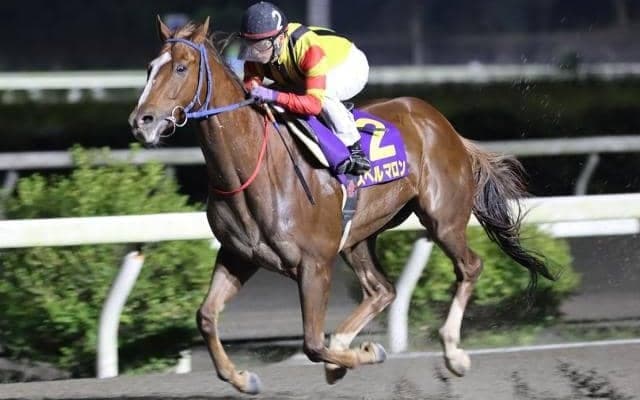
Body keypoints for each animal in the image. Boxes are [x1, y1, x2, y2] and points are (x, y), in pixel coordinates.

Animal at [129, 17, 554, 394]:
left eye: (181, 67)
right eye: (149, 68)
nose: (141, 121)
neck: (251, 166)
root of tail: (441, 124)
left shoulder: (314, 264)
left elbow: (313, 343)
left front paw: (367, 352)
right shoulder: (238, 255)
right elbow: (206, 316)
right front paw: (243, 378)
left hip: (443, 219)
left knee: (469, 267)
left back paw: (453, 353)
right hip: (358, 237)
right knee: (382, 290)